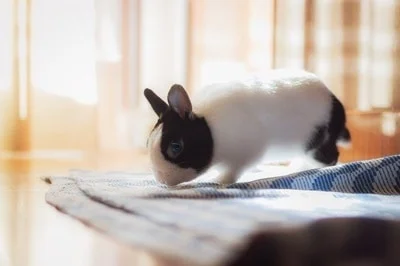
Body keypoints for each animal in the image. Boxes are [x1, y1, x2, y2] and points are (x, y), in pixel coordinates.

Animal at [144, 68, 350, 187]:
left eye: (176, 147)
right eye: (147, 143)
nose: (161, 180)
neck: (210, 129)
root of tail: (337, 105)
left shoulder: (246, 154)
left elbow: (233, 172)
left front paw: (216, 181)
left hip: (316, 143)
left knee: (329, 159)